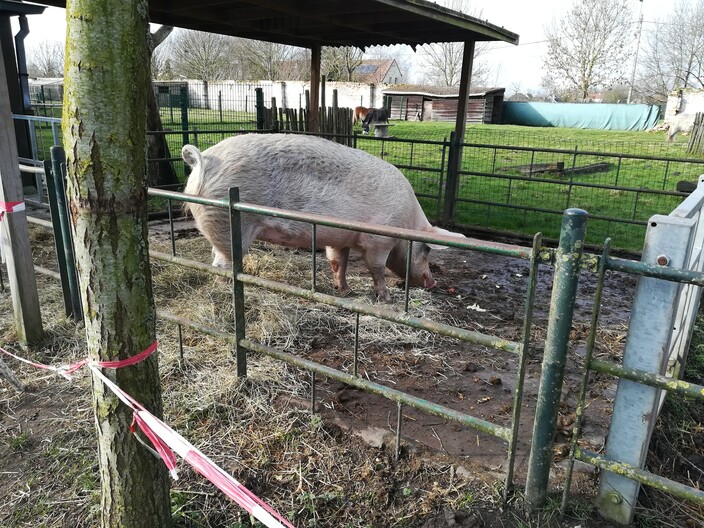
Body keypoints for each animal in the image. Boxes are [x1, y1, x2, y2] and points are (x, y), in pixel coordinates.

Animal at [184, 132, 464, 302]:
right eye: (427, 250)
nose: (433, 282)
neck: (407, 224)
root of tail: (204, 161)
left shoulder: (340, 239)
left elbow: (337, 262)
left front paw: (344, 290)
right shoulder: (378, 239)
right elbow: (376, 268)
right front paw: (384, 297)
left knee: (214, 258)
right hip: (228, 224)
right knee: (222, 264)